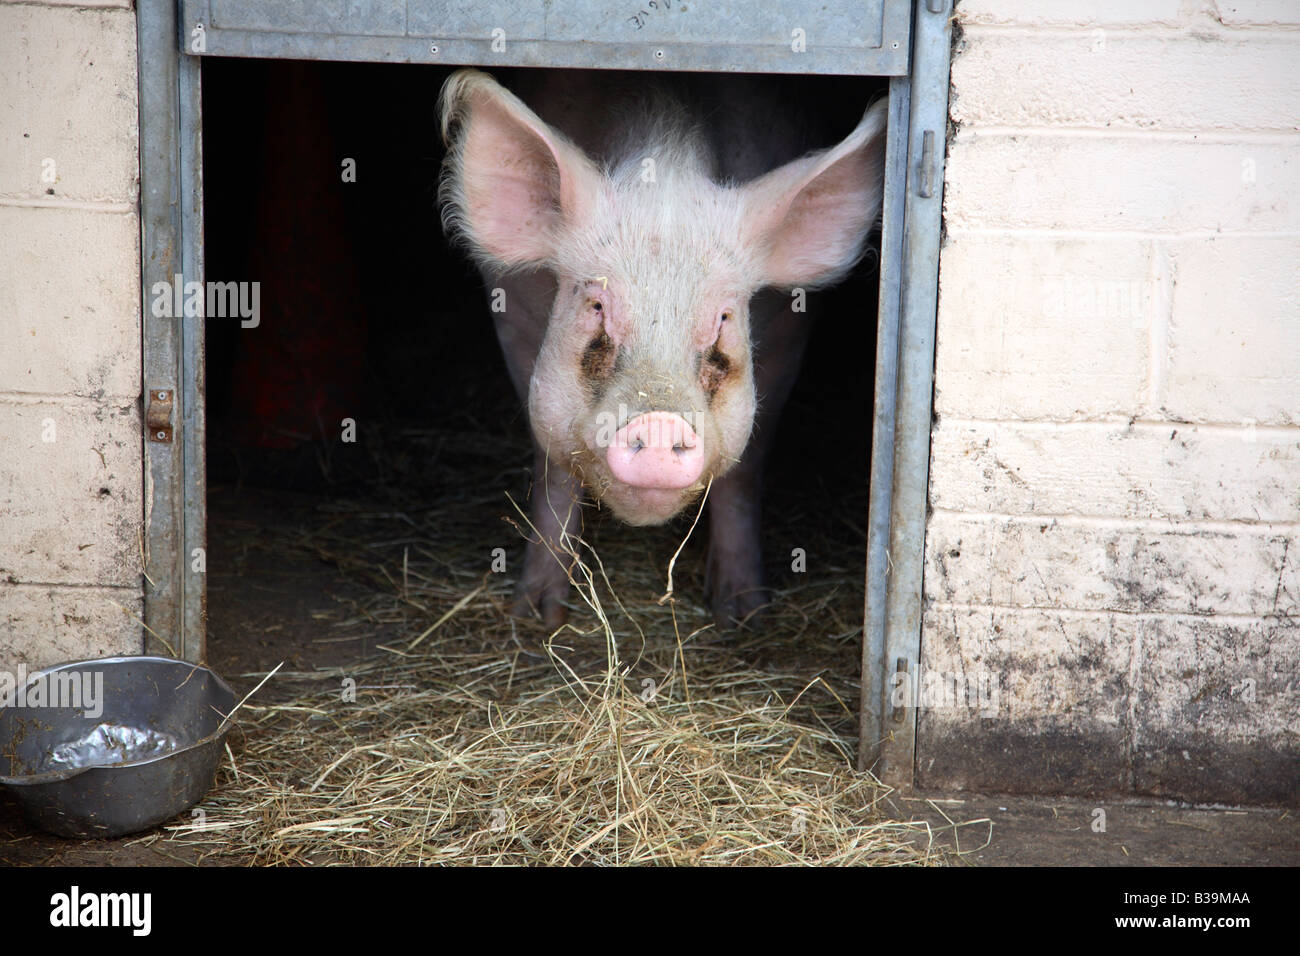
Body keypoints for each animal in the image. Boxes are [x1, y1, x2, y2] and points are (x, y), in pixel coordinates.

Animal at [438, 69, 886, 629]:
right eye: (596, 305)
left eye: (722, 319)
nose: (658, 422)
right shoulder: (510, 314)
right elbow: (553, 465)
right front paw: (536, 614)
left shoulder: (790, 332)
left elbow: (747, 466)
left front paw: (742, 613)